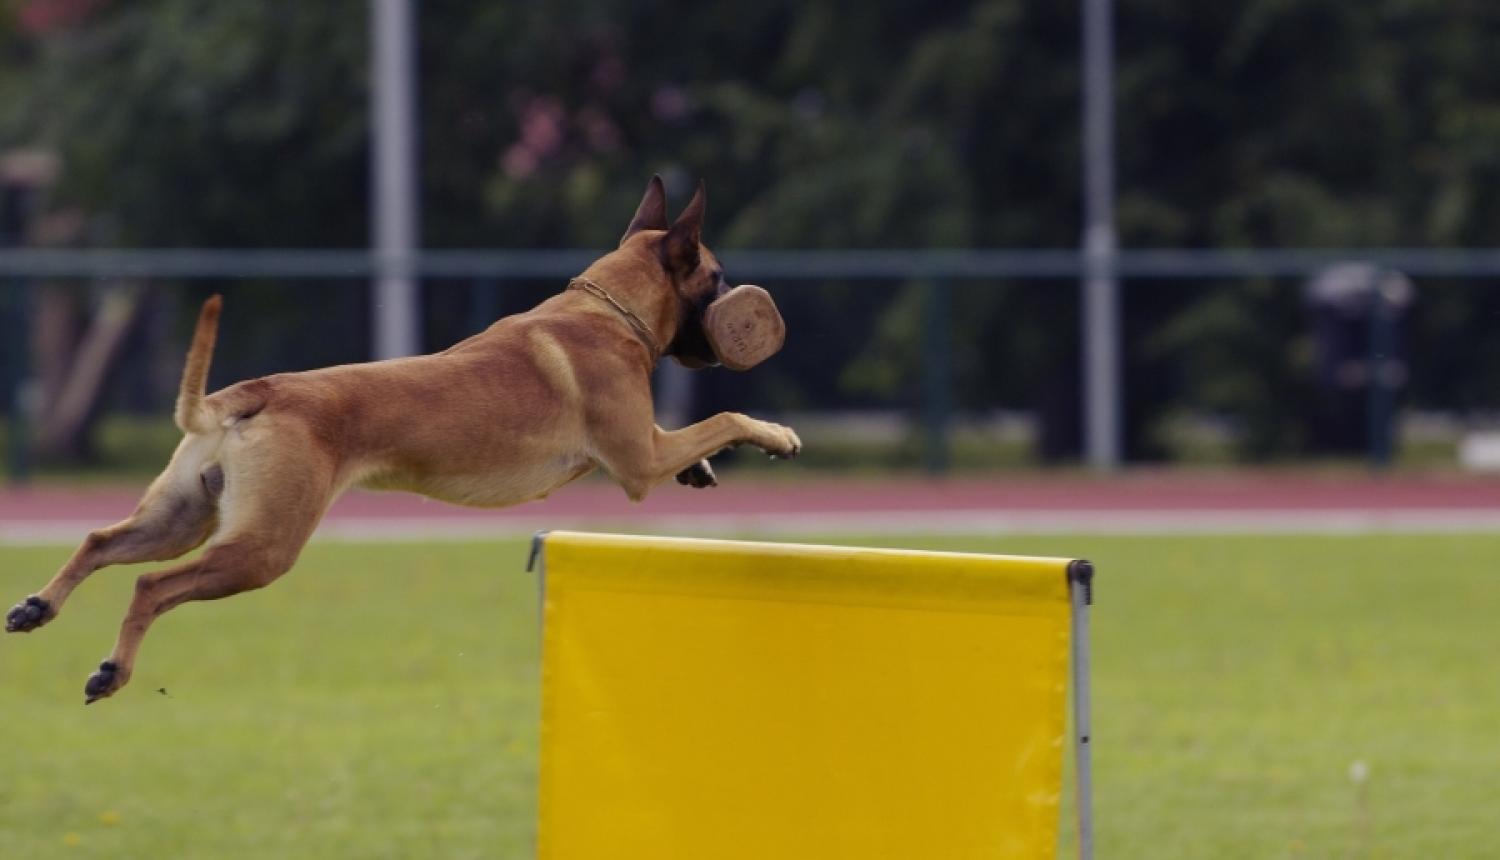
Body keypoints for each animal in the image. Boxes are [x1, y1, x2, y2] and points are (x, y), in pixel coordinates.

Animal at [5, 177, 804, 699]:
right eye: (717, 275)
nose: (746, 309)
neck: (607, 310)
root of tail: (253, 392)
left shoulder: (647, 447)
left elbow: (698, 437)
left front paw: (703, 472)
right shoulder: (638, 462)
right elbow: (723, 421)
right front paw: (775, 433)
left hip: (181, 517)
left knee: (99, 542)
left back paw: (38, 606)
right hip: (260, 548)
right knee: (150, 584)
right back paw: (113, 671)